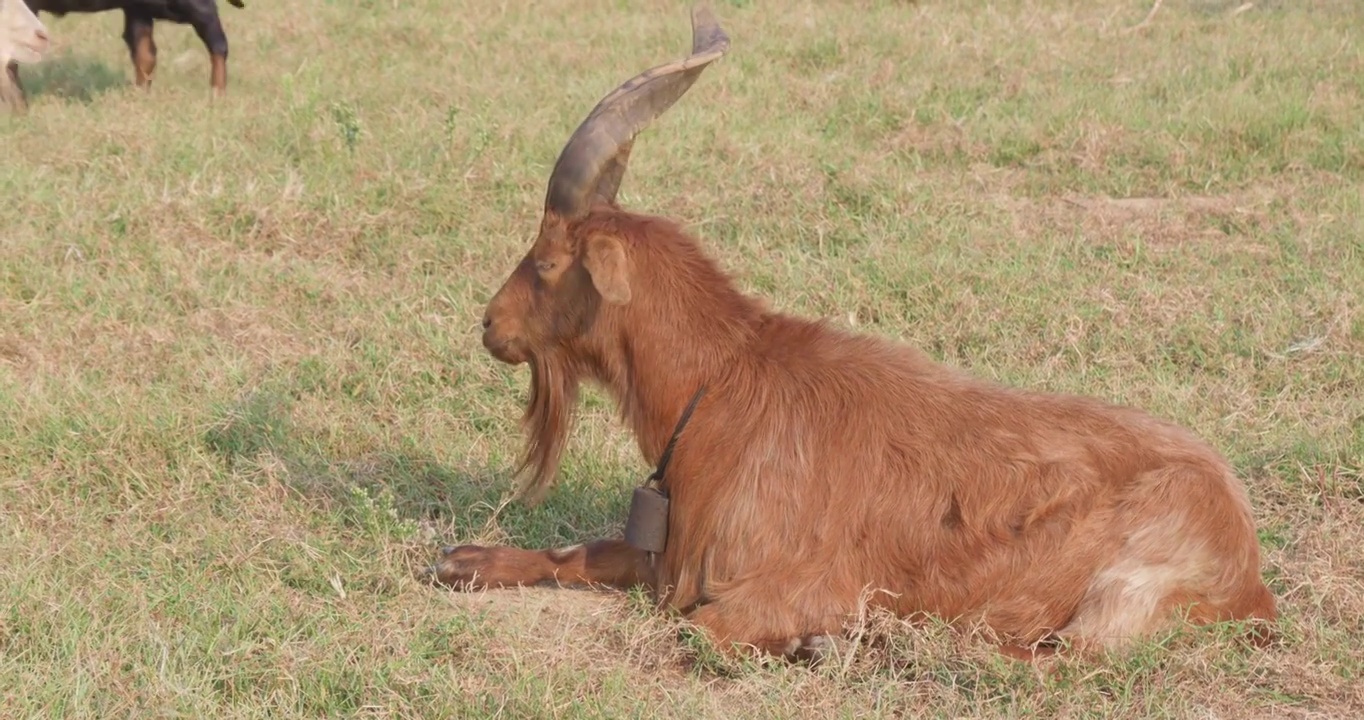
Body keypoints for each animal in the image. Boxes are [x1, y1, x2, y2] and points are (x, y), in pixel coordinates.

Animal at [431, 4, 1282, 662]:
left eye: (546, 260)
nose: (489, 325)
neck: (724, 384)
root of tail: (1248, 575)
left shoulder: (778, 582)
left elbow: (696, 632)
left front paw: (817, 637)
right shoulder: (667, 551)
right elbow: (586, 550)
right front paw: (465, 560)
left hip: (1124, 590)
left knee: (1057, 657)